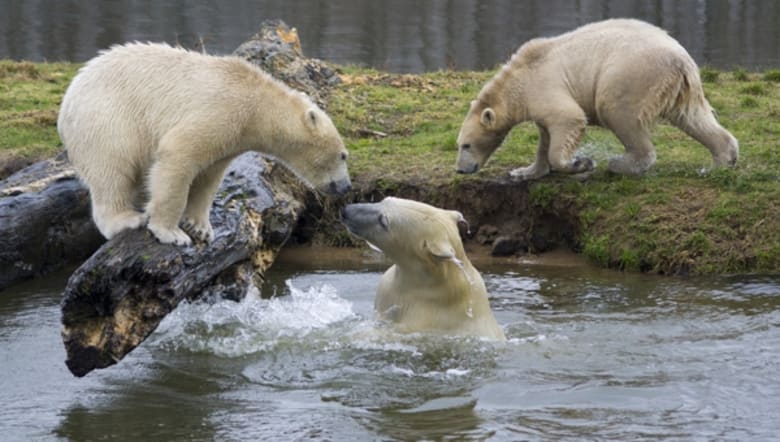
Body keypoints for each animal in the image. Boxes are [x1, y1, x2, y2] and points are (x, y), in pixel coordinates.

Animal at [59, 43, 352, 247]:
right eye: (343, 155)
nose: (346, 186)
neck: (257, 104)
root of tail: (67, 104)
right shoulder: (222, 110)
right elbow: (178, 153)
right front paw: (172, 233)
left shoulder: (231, 138)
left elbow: (209, 176)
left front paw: (200, 226)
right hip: (107, 120)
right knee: (113, 170)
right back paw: (126, 219)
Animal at [454, 17, 736, 180]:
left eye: (465, 145)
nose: (460, 169)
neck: (520, 78)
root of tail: (682, 60)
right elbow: (545, 136)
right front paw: (525, 172)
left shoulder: (544, 86)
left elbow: (569, 119)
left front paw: (581, 162)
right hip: (681, 88)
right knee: (693, 117)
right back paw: (723, 159)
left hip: (630, 75)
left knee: (618, 112)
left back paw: (621, 163)